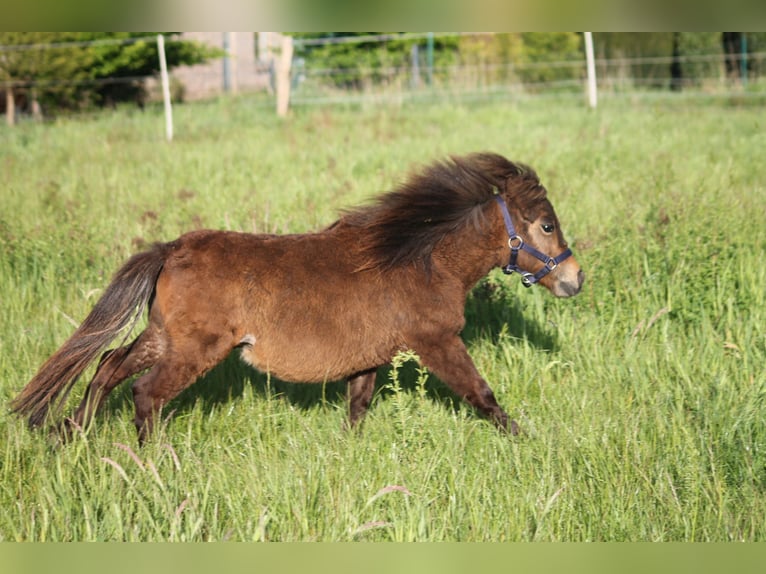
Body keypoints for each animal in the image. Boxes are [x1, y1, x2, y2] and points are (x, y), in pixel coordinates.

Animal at [12, 153, 584, 446]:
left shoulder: (369, 357)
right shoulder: (438, 342)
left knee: (108, 365)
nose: (575, 279)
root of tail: (172, 249)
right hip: (194, 349)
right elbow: (482, 396)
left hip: (164, 337)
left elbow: (357, 408)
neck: (418, 259)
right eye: (546, 224)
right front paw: (531, 443)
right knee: (145, 392)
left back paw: (70, 434)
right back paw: (151, 461)